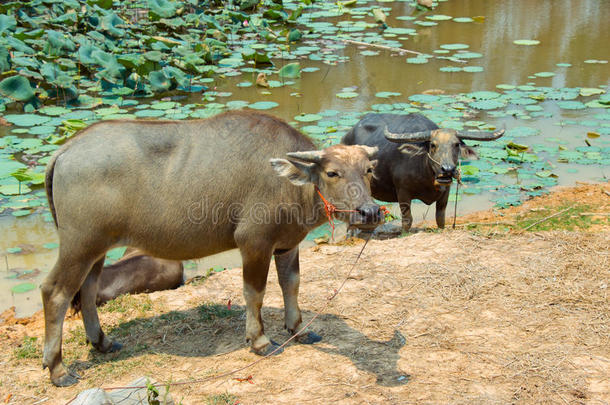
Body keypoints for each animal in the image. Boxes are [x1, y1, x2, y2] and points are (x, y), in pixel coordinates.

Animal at [40, 110, 380, 386]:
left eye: (368, 170)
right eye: (332, 173)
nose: (370, 212)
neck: (290, 185)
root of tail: (66, 149)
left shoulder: (287, 245)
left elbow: (291, 285)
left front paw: (298, 329)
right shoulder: (254, 243)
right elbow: (255, 293)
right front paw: (259, 340)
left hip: (97, 248)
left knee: (86, 290)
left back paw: (102, 342)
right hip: (79, 244)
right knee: (55, 292)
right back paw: (58, 369)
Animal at [342, 112, 504, 230]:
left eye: (456, 144)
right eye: (433, 145)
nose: (447, 170)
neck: (426, 175)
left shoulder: (445, 192)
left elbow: (440, 218)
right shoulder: (403, 192)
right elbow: (407, 220)